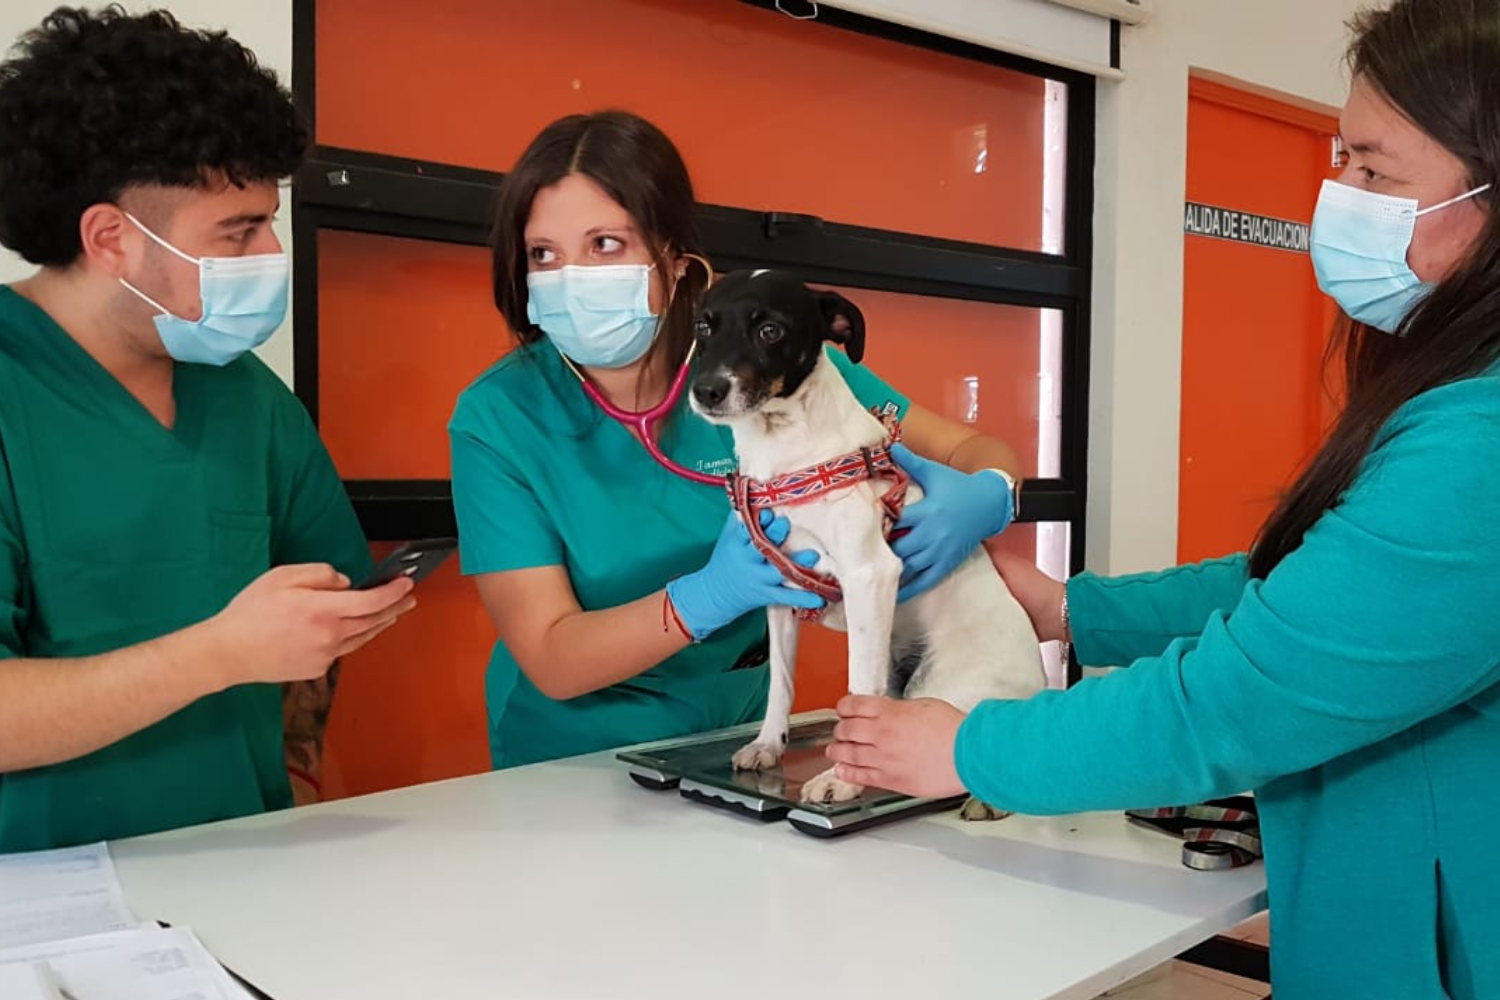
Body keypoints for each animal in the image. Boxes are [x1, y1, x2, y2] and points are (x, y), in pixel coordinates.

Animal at [690, 268, 1044, 803]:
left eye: (770, 330)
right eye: (704, 327)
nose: (705, 390)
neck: (786, 451)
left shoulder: (869, 576)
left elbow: (859, 688)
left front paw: (843, 778)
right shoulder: (778, 588)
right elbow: (781, 684)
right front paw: (769, 743)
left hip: (939, 687)